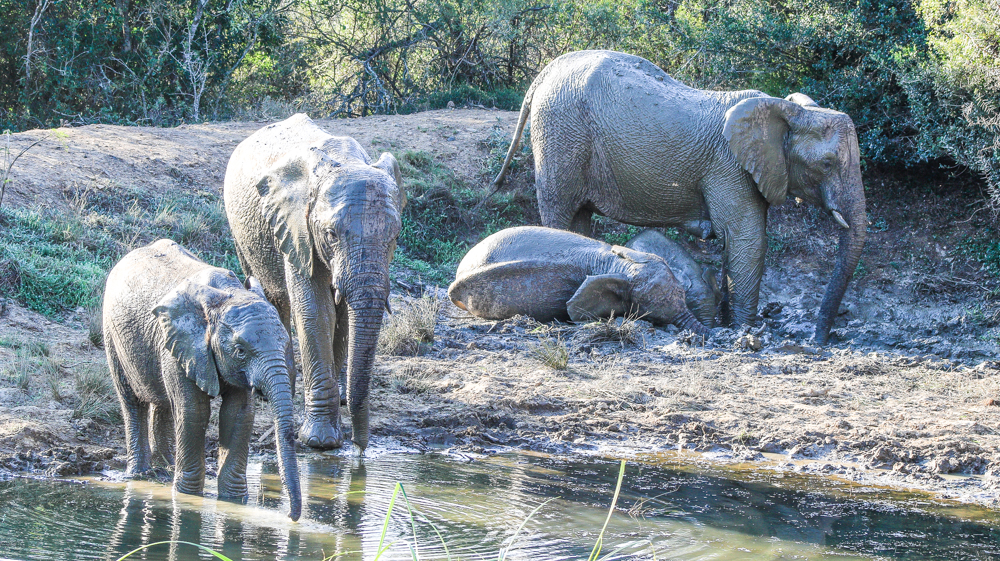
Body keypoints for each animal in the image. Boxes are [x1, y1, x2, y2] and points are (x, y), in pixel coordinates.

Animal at [104, 237, 304, 520]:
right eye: (240, 351)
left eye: (286, 343)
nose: (291, 517)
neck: (227, 295)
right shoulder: (181, 344)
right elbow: (194, 412)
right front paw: (187, 496)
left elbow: (238, 414)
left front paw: (234, 499)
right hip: (112, 333)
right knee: (132, 401)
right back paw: (139, 475)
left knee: (164, 405)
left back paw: (165, 469)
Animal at [225, 114, 404, 450]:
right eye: (332, 234)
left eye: (395, 235)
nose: (360, 446)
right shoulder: (296, 228)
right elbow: (316, 311)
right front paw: (320, 441)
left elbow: (343, 313)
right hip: (240, 231)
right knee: (273, 298)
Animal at [494, 49, 868, 346]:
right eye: (827, 163)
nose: (819, 342)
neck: (784, 110)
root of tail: (545, 73)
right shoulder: (729, 167)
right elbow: (749, 241)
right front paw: (743, 331)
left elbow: (738, 243)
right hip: (559, 136)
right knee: (560, 213)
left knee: (579, 218)